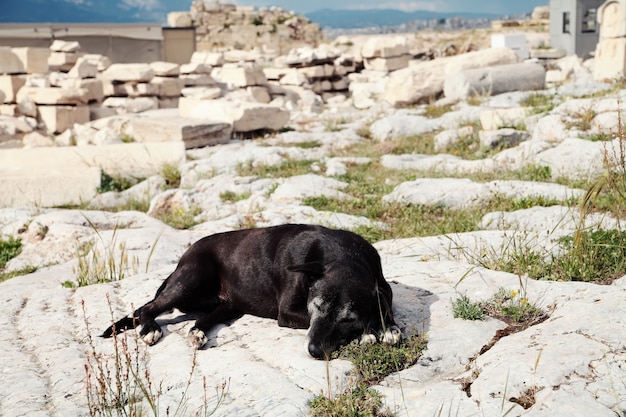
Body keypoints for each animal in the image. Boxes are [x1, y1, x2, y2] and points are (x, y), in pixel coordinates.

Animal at [99, 224, 398, 358]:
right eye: (317, 307)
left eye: (348, 318)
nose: (313, 350)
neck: (343, 254)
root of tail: (182, 260)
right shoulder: (288, 313)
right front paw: (369, 333)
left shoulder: (382, 287)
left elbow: (385, 305)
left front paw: (387, 327)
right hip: (190, 280)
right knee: (150, 307)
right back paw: (150, 329)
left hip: (229, 304)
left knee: (203, 318)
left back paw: (197, 333)